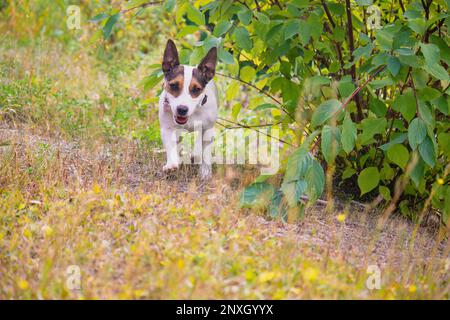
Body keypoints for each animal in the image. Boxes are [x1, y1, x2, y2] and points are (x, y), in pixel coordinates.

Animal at [159, 39, 219, 180]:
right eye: (173, 85)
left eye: (196, 89)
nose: (182, 109)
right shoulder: (167, 128)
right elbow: (171, 145)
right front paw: (171, 164)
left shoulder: (208, 129)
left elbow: (204, 152)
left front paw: (205, 172)